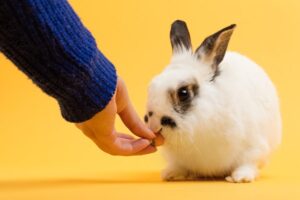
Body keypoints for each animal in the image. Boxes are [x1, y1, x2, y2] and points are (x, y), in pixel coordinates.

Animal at [145, 20, 282, 183]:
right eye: (152, 85)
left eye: (183, 93)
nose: (153, 124)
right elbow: (179, 166)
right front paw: (171, 174)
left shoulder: (254, 147)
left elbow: (247, 164)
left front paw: (240, 178)